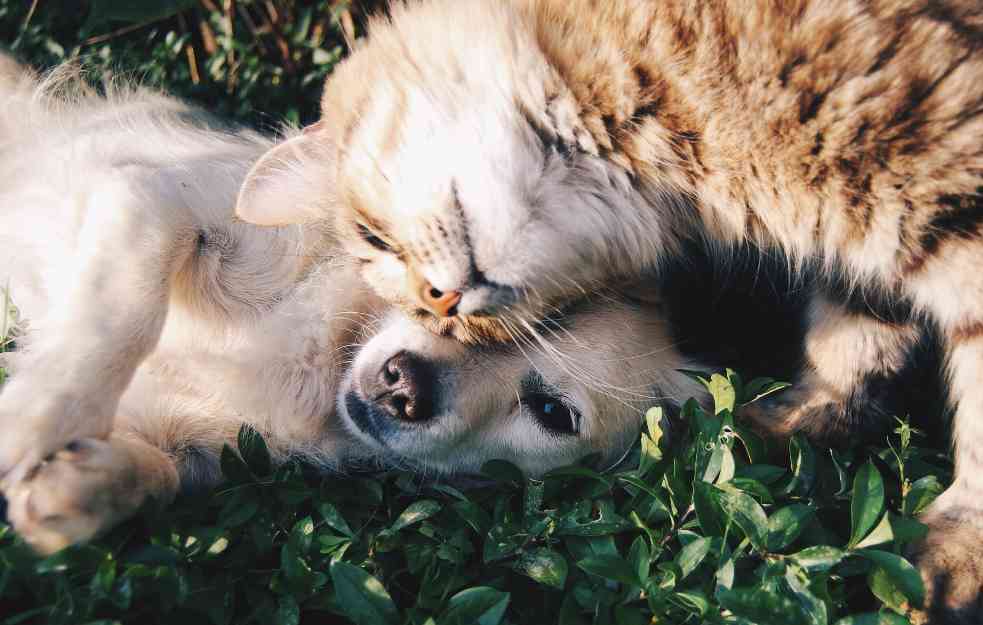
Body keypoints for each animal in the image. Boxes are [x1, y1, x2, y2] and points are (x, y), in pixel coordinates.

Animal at [236, 1, 983, 620]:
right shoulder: (863, 246)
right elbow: (855, 337)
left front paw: (958, 551)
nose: (441, 305)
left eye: (374, 240)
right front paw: (793, 422)